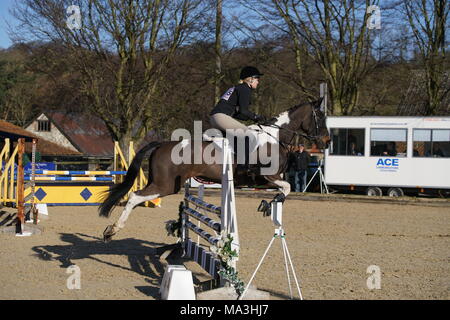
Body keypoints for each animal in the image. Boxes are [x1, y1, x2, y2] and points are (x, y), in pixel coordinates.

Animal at [99, 99, 330, 241]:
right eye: (320, 117)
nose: (327, 142)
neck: (274, 137)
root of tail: (161, 144)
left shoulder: (269, 180)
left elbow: (286, 188)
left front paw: (268, 204)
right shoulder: (268, 176)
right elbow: (288, 187)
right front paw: (270, 204)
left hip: (162, 184)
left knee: (137, 197)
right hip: (165, 185)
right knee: (134, 197)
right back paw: (112, 230)